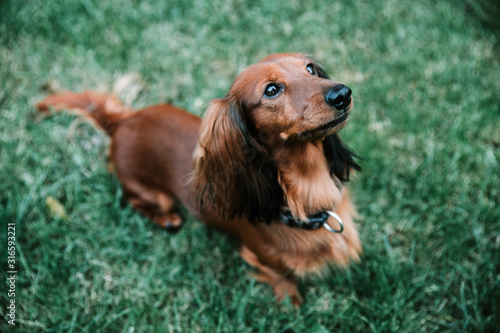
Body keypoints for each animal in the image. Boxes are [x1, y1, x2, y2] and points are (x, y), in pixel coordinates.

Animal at [37, 52, 362, 304]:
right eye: (271, 90)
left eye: (310, 69)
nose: (342, 94)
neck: (307, 192)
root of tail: (122, 123)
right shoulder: (262, 259)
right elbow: (284, 278)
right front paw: (291, 302)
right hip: (152, 194)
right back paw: (167, 219)